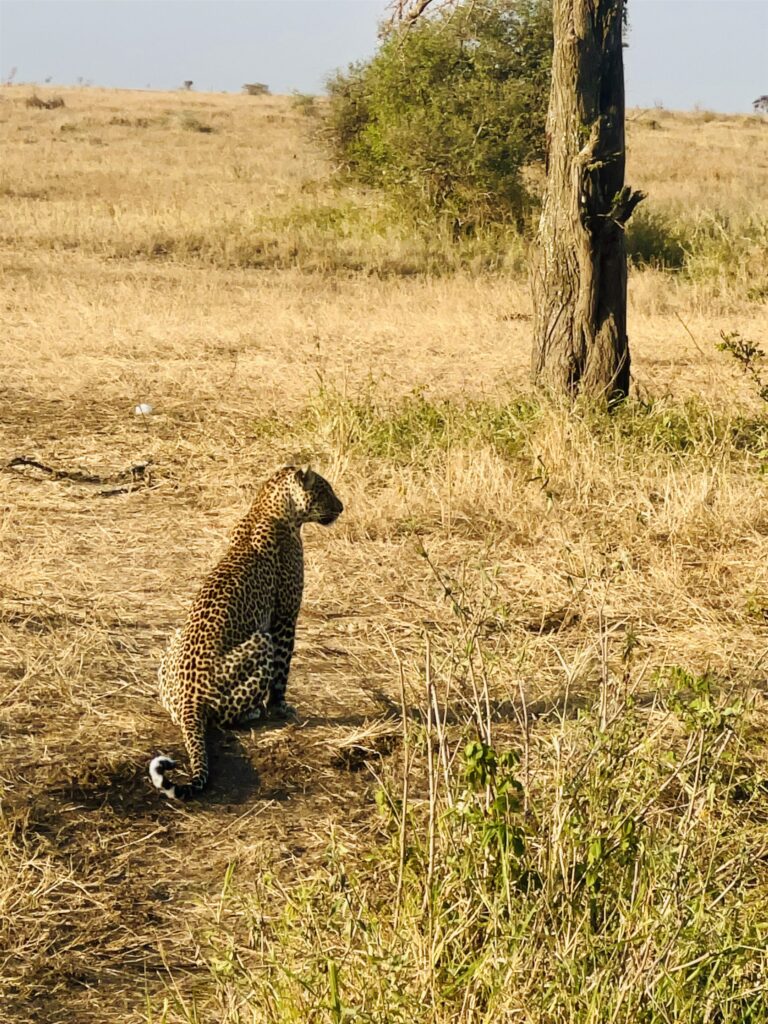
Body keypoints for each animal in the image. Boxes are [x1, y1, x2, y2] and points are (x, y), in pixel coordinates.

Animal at [149, 465, 343, 801]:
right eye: (325, 490)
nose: (341, 507)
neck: (267, 508)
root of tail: (188, 699)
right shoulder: (284, 616)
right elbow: (282, 670)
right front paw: (279, 706)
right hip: (260, 643)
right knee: (226, 717)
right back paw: (252, 712)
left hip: (173, 640)